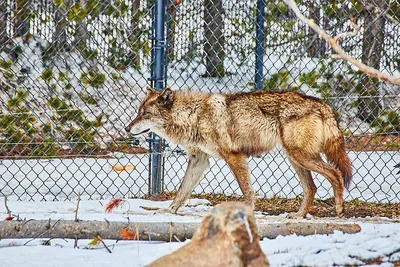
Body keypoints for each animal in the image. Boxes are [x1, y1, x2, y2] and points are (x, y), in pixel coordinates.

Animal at [124, 87, 350, 219]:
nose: (126, 128)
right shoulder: (199, 161)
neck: (194, 115)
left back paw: (339, 209)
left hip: (300, 157)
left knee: (335, 174)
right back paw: (298, 215)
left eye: (145, 114)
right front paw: (168, 210)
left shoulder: (234, 157)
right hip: (295, 159)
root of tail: (323, 104)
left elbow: (247, 191)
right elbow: (181, 191)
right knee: (311, 187)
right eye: (138, 112)